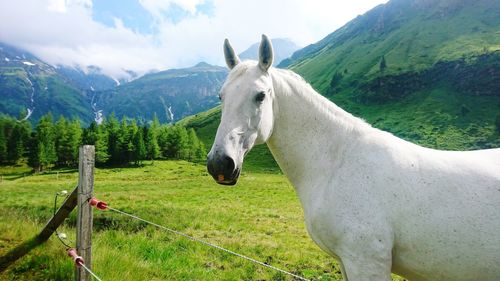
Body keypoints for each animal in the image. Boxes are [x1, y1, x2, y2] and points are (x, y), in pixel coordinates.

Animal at [206, 35, 500, 280]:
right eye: (221, 96)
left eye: (260, 95)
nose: (220, 163)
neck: (337, 164)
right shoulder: (346, 262)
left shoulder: (366, 261)